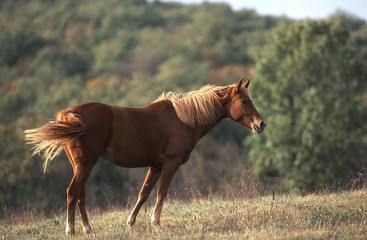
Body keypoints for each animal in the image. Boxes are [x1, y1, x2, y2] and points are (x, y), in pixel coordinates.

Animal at [25, 78, 268, 234]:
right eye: (244, 101)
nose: (261, 124)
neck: (183, 120)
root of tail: (71, 114)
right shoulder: (170, 163)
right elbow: (161, 193)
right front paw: (156, 223)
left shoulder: (156, 166)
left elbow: (144, 193)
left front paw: (131, 222)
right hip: (85, 164)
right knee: (72, 192)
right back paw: (73, 229)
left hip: (81, 165)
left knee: (80, 194)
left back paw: (87, 228)